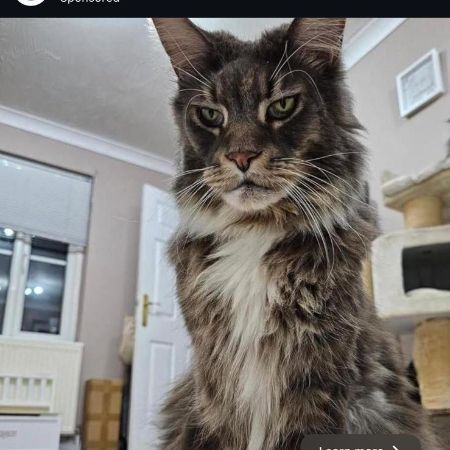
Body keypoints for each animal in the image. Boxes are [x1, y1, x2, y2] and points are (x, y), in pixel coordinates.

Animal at [152, 18, 441, 450]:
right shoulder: (212, 380)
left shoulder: (318, 369)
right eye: (210, 114)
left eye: (282, 106)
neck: (256, 228)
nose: (241, 156)